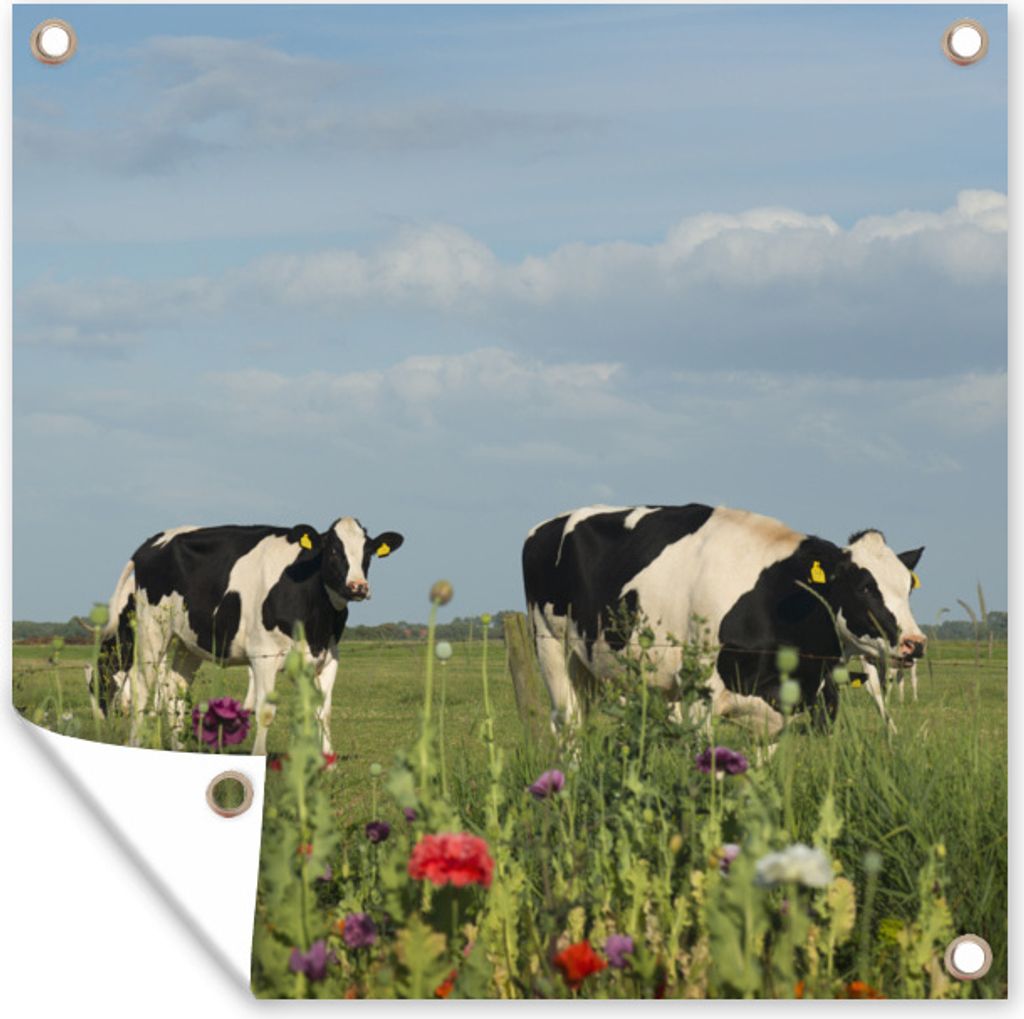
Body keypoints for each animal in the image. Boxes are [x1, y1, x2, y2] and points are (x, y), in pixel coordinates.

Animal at [93, 518, 404, 753]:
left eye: (368, 552)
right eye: (333, 551)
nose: (358, 587)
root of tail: (151, 543)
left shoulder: (327, 658)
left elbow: (323, 711)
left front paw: (328, 761)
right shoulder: (263, 656)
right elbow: (265, 711)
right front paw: (259, 755)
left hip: (187, 642)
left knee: (174, 687)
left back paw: (179, 747)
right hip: (152, 631)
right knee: (143, 686)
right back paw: (136, 742)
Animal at [522, 504, 925, 741]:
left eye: (907, 586)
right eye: (864, 586)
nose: (915, 643)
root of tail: (544, 525)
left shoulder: (774, 712)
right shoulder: (700, 701)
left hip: (588, 665)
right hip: (550, 647)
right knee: (567, 723)